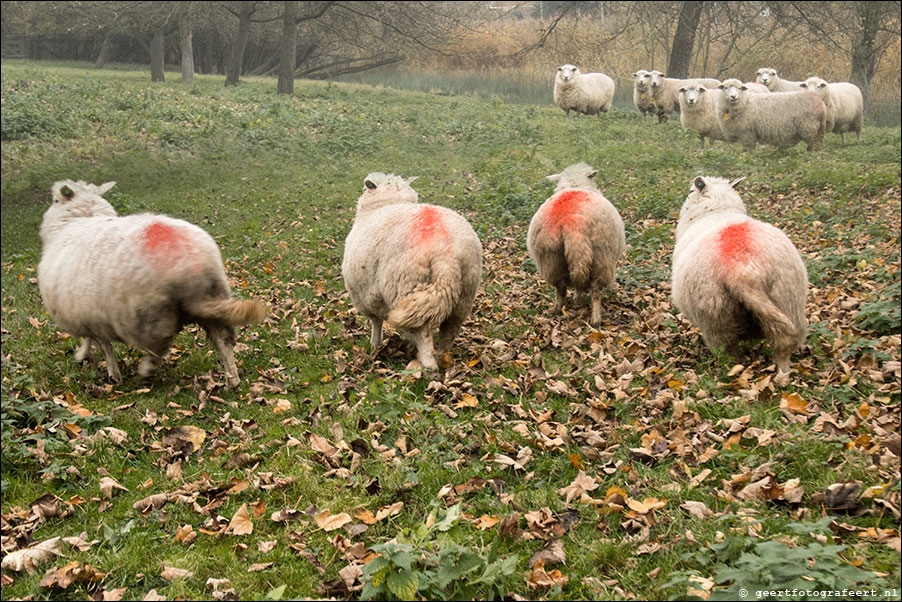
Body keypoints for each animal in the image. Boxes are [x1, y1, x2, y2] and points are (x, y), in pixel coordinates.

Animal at [38, 179, 264, 384]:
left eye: (55, 199)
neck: (75, 220)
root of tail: (191, 264)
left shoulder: (88, 315)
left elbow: (103, 346)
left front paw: (108, 372)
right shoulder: (89, 316)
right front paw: (85, 355)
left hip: (152, 313)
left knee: (158, 347)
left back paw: (146, 370)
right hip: (213, 297)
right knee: (223, 341)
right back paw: (232, 380)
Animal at [340, 171, 484, 372]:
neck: (387, 203)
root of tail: (446, 255)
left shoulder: (365, 295)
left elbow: (376, 322)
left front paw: (375, 344)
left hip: (406, 285)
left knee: (422, 331)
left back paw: (429, 366)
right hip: (464, 294)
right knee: (448, 331)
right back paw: (442, 358)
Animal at [528, 162, 624, 326]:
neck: (575, 183)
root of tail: (572, 220)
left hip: (551, 260)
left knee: (560, 288)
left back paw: (557, 309)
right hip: (601, 257)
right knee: (595, 290)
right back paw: (596, 320)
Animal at [672, 176, 812, 380]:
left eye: (691, 191)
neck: (719, 210)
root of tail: (745, 270)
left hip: (715, 317)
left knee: (728, 353)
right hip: (788, 298)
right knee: (784, 343)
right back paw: (783, 373)